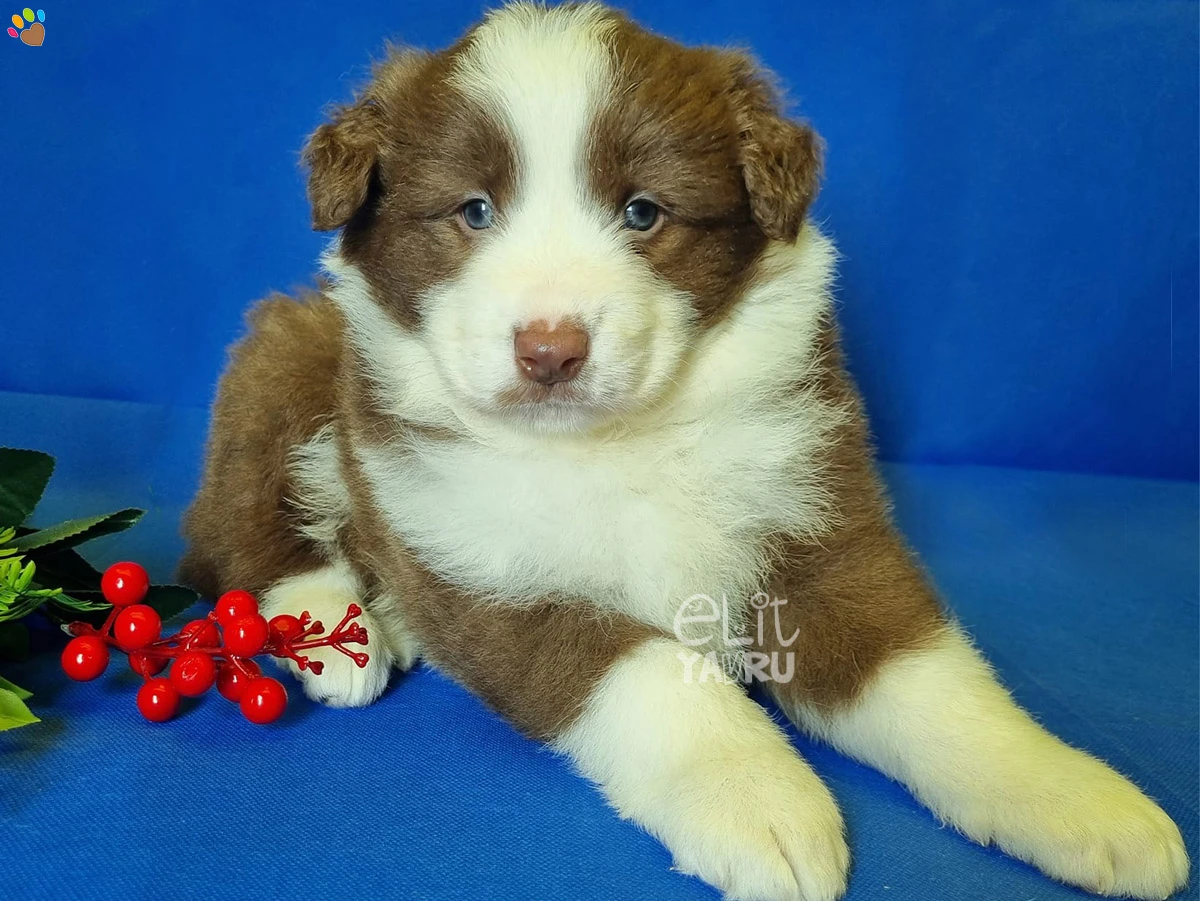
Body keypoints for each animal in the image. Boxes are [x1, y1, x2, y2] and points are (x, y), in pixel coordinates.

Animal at [180, 3, 1190, 897]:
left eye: (643, 212)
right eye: (472, 211)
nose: (550, 350)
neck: (621, 440)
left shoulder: (816, 519)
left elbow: (928, 674)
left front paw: (1070, 795)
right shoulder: (485, 560)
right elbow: (658, 676)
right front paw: (762, 801)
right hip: (289, 358)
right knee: (239, 521)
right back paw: (332, 630)